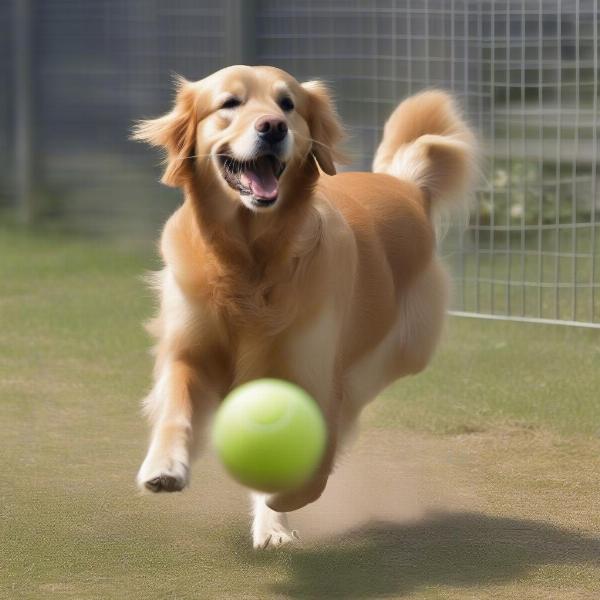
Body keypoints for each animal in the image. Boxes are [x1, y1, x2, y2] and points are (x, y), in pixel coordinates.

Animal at [134, 64, 476, 548]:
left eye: (287, 104)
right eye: (229, 103)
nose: (273, 127)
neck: (249, 259)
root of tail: (404, 185)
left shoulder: (309, 372)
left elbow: (308, 464)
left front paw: (277, 510)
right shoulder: (187, 349)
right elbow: (175, 408)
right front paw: (164, 466)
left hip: (398, 354)